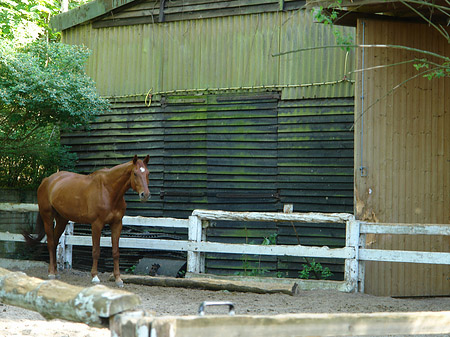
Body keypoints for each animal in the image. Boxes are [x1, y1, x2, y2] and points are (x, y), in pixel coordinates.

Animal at [23, 155, 150, 286]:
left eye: (148, 173)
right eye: (135, 173)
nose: (145, 195)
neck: (108, 191)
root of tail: (46, 180)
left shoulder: (117, 224)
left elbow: (116, 252)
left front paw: (118, 279)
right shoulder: (96, 224)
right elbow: (96, 251)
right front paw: (95, 277)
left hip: (62, 219)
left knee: (55, 241)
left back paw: (55, 272)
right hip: (48, 217)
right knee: (50, 242)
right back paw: (51, 273)